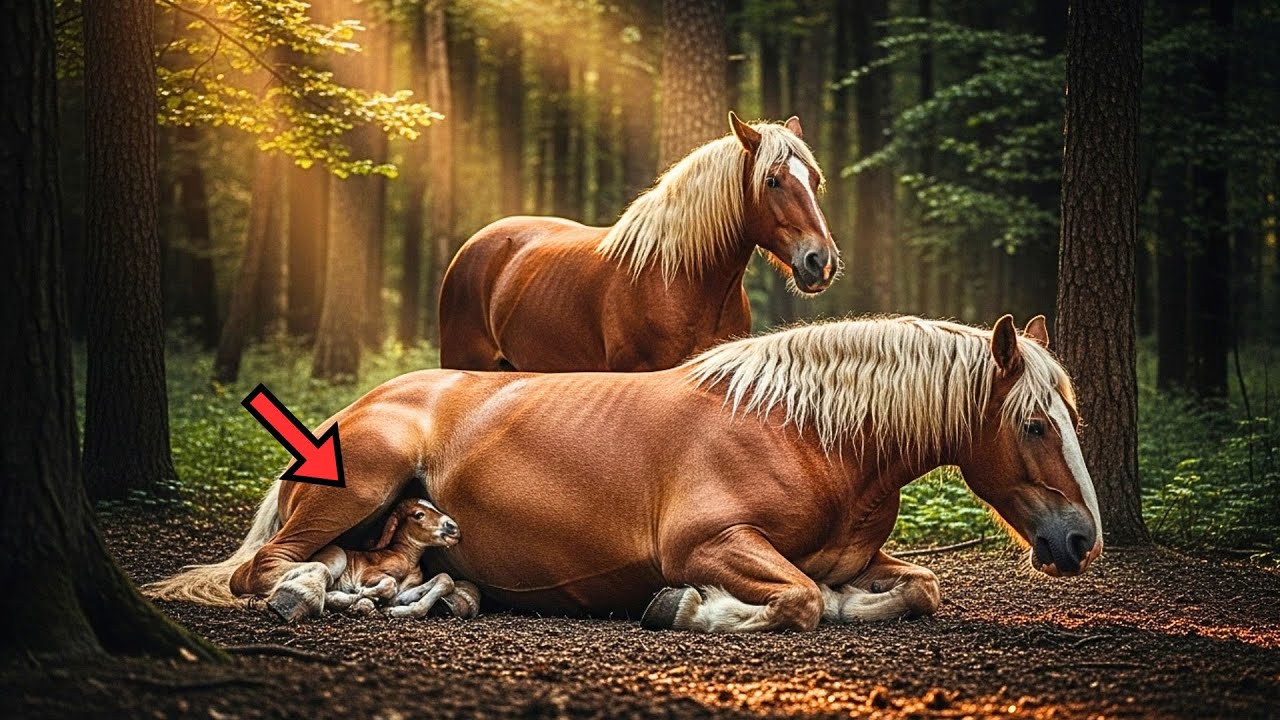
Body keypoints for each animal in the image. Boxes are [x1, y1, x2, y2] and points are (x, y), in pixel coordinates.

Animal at [146, 314, 1103, 632]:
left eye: (1073, 419)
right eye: (1032, 423)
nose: (1081, 541)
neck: (808, 434)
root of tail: (356, 408)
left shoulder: (862, 558)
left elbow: (918, 587)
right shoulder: (710, 543)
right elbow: (795, 600)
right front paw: (690, 609)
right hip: (364, 484)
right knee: (270, 570)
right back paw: (316, 594)